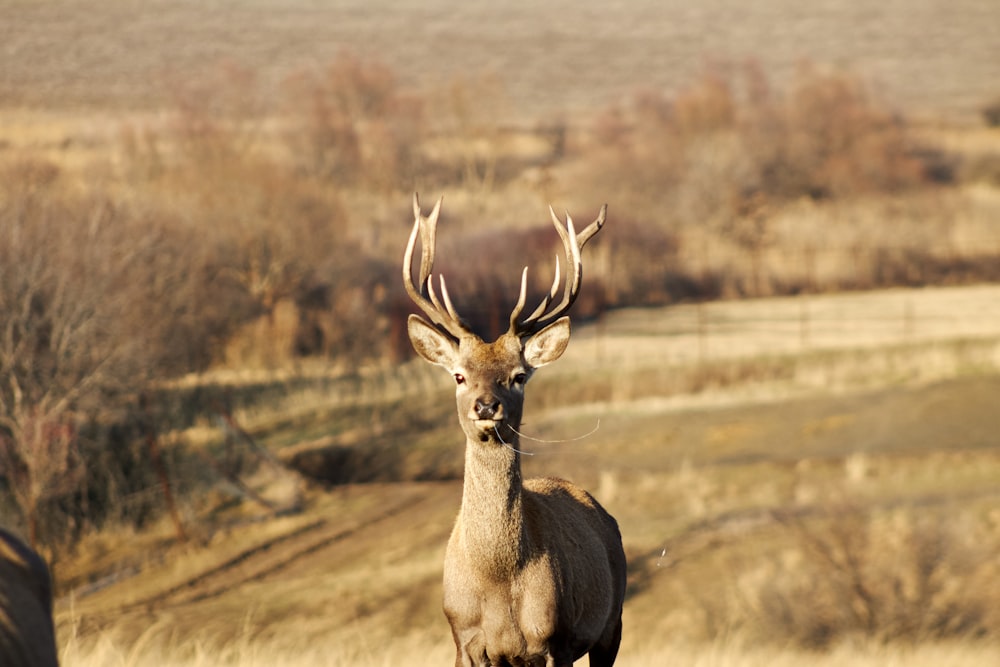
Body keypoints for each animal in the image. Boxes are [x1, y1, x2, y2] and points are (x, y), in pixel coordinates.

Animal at [404, 194, 624, 667]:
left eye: (519, 376)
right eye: (459, 376)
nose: (487, 406)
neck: (496, 577)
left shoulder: (553, 639)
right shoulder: (463, 639)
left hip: (610, 625)